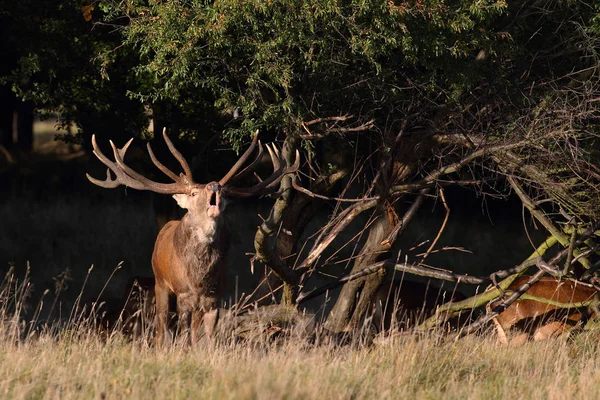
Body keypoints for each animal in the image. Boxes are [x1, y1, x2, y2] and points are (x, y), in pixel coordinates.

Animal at [86, 130, 298, 344]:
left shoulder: (215, 298)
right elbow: (184, 336)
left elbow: (207, 339)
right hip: (159, 282)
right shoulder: (183, 295)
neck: (199, 279)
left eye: (225, 192)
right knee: (160, 326)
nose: (214, 186)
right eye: (194, 193)